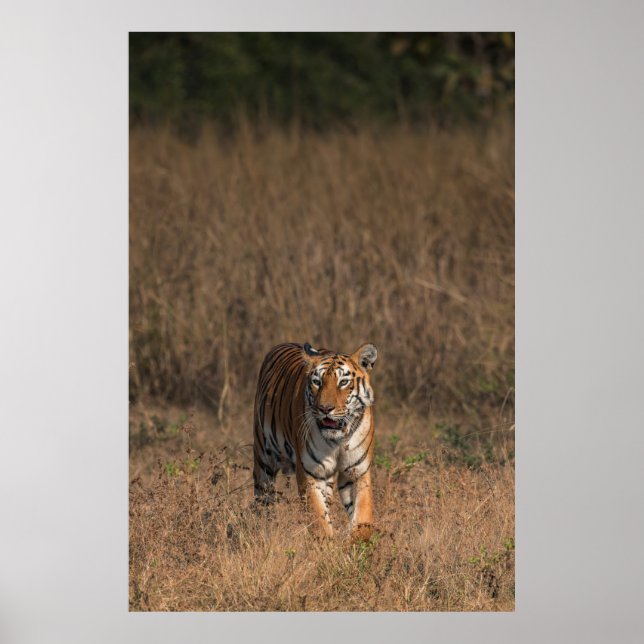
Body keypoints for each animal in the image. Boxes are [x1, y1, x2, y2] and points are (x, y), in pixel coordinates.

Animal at [252, 341, 378, 541]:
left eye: (343, 382)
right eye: (317, 382)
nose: (325, 408)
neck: (338, 439)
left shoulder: (358, 471)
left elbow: (363, 518)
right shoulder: (311, 472)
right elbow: (319, 520)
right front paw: (327, 545)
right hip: (264, 459)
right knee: (263, 499)